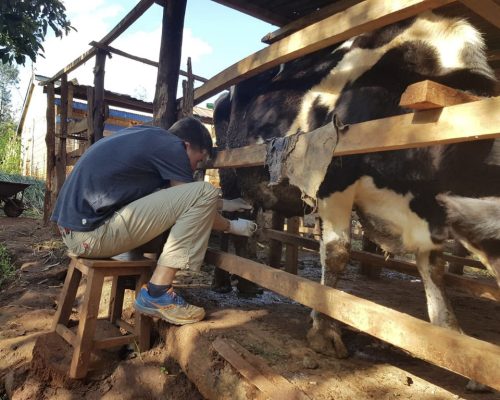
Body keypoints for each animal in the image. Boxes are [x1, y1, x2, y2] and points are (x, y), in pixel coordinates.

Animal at [216, 10, 500, 368]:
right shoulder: (331, 180)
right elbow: (338, 253)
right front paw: (324, 330)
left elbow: (434, 268)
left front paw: (451, 339)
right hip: (229, 174)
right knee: (229, 222)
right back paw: (223, 281)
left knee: (248, 225)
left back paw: (246, 283)